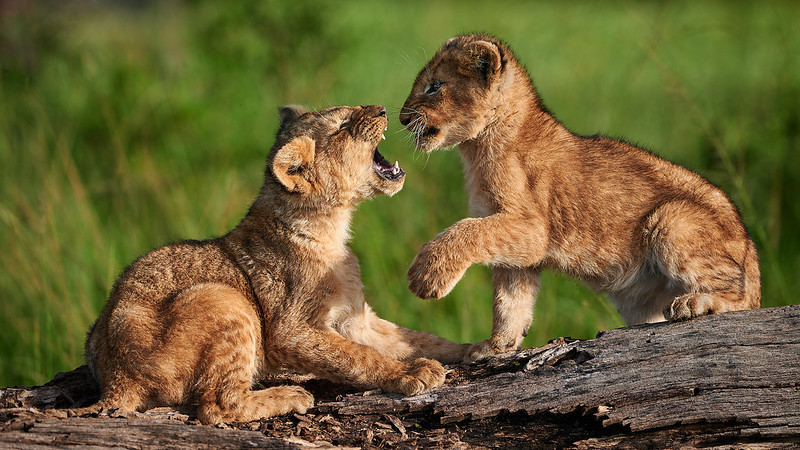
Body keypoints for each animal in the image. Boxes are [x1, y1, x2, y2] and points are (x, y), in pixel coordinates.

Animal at [83, 104, 469, 424]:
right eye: (342, 126)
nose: (383, 109)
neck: (333, 228)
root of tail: (117, 381)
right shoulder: (290, 332)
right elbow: (357, 356)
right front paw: (410, 374)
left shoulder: (353, 317)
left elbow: (413, 337)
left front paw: (473, 350)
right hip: (224, 298)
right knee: (217, 407)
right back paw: (291, 395)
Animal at [399, 33, 760, 362]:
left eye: (434, 86)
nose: (402, 118)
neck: (477, 147)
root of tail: (751, 247)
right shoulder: (516, 249)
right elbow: (510, 302)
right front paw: (497, 346)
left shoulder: (530, 228)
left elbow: (464, 231)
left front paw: (426, 275)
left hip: (672, 219)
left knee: (741, 298)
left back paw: (695, 303)